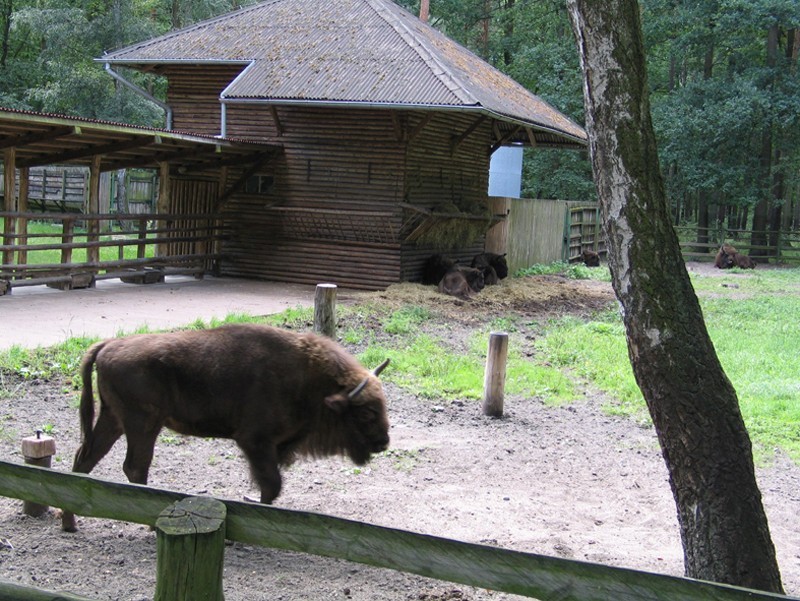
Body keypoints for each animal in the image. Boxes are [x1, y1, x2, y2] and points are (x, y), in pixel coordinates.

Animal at [60, 324, 390, 528]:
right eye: (366, 413)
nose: (383, 442)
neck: (311, 380)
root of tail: (108, 344)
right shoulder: (255, 442)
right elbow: (271, 484)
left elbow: (270, 486)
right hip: (143, 424)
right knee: (134, 467)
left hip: (114, 420)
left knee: (85, 459)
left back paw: (70, 524)